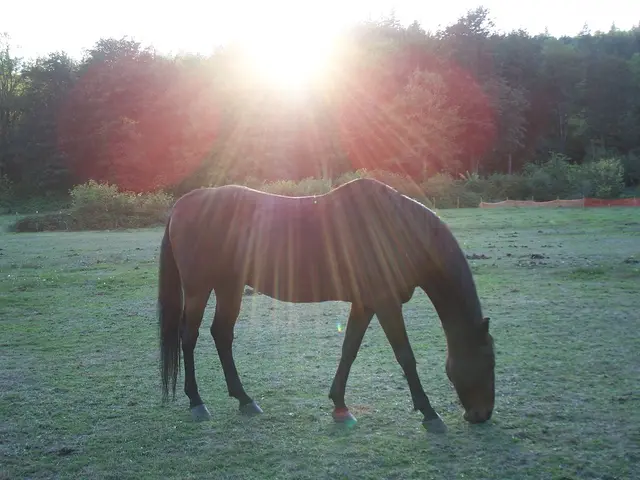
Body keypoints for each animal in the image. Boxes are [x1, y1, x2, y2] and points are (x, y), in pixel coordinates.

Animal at [158, 178, 495, 433]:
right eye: (489, 361)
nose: (482, 415)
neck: (396, 228)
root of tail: (184, 204)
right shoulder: (386, 304)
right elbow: (405, 357)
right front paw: (430, 414)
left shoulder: (365, 304)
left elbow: (349, 350)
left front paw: (340, 406)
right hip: (199, 288)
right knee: (189, 337)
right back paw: (197, 402)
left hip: (230, 286)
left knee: (222, 334)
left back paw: (245, 399)